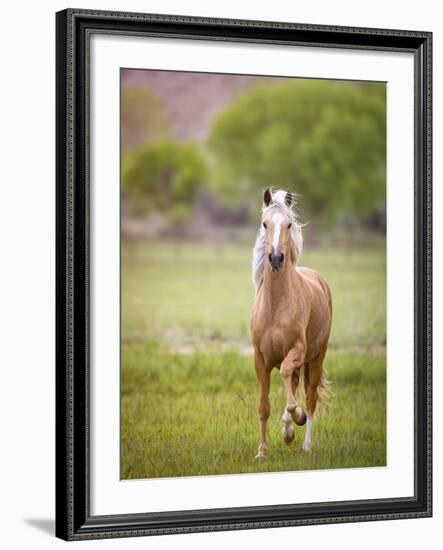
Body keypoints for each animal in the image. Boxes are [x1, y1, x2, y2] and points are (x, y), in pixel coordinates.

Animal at [251, 188, 332, 460]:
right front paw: (262, 451)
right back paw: (288, 432)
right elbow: (264, 407)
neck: (275, 308)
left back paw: (304, 443)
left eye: (288, 224)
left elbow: (287, 378)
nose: (276, 258)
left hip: (315, 359)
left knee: (310, 398)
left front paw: (297, 416)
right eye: (265, 224)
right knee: (295, 387)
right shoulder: (260, 359)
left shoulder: (297, 351)